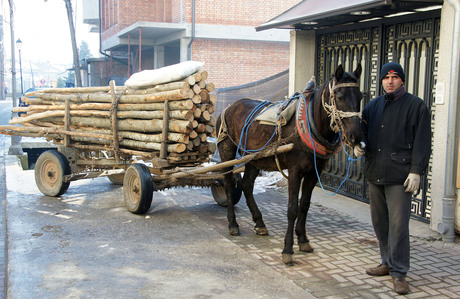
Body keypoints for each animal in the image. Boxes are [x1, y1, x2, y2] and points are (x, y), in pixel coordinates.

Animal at [216, 63, 362, 264]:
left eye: (360, 96)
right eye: (339, 97)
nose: (356, 135)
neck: (310, 124)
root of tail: (229, 108)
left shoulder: (314, 172)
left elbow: (305, 205)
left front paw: (303, 240)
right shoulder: (295, 171)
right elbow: (292, 209)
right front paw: (287, 249)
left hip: (253, 157)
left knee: (246, 185)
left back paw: (259, 222)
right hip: (227, 152)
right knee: (230, 184)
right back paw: (233, 224)